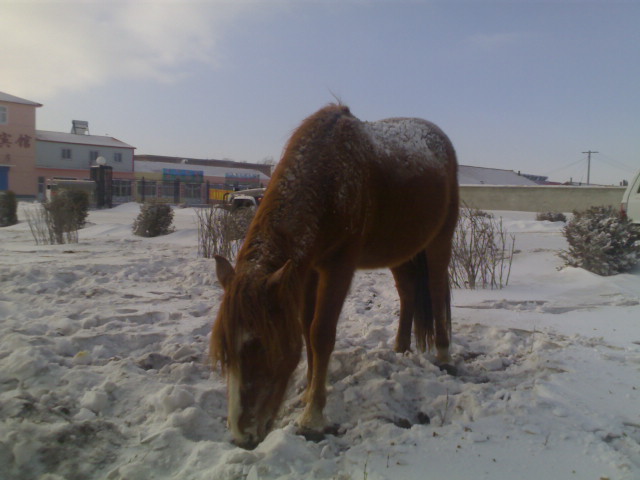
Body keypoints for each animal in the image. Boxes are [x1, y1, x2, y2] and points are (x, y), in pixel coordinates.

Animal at [212, 105, 458, 450]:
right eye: (225, 352)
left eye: (260, 346)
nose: (242, 436)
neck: (329, 178)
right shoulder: (307, 271)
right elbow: (305, 329)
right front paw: (307, 394)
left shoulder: (338, 267)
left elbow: (321, 333)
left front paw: (313, 417)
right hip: (400, 250)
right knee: (408, 292)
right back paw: (400, 348)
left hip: (440, 239)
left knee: (435, 289)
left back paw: (444, 354)